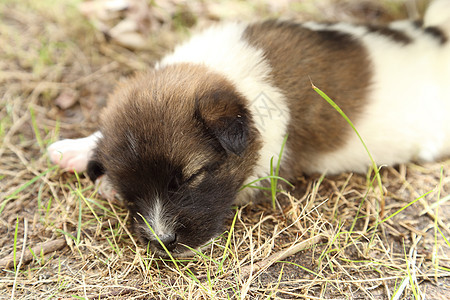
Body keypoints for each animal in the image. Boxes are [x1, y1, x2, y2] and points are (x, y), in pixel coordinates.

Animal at [47, 1, 450, 256]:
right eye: (133, 193)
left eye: (193, 177)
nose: (163, 242)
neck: (235, 78)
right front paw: (80, 151)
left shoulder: (269, 163)